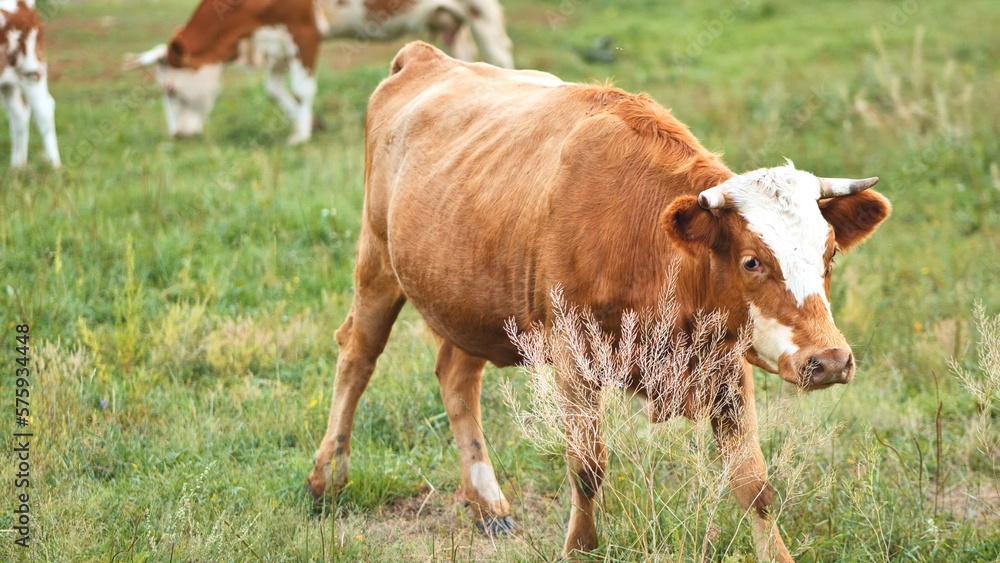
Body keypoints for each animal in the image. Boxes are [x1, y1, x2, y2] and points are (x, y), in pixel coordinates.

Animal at [1, 0, 60, 168]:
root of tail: (23, 5)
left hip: (32, 71)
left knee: (44, 110)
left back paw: (55, 166)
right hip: (8, 83)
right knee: (19, 114)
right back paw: (17, 167)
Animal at [124, 0, 513, 144]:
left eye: (171, 90)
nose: (177, 135)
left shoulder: (304, 30)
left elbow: (301, 89)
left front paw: (301, 136)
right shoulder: (277, 41)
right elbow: (275, 90)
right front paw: (308, 125)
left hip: (481, 11)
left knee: (500, 52)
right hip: (449, 21)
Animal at [305, 41, 891, 561]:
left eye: (829, 253)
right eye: (752, 261)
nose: (830, 360)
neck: (647, 242)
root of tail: (425, 56)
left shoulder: (726, 365)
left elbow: (753, 483)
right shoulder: (573, 359)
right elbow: (587, 466)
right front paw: (580, 548)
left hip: (468, 300)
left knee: (455, 377)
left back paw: (487, 503)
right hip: (377, 264)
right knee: (356, 357)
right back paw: (325, 478)